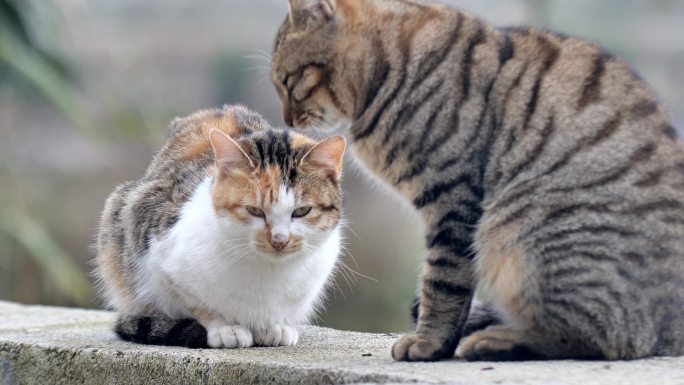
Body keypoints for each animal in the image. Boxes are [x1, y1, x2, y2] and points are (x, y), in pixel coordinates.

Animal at [95, 105, 348, 348]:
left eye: (301, 211)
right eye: (254, 210)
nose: (279, 240)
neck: (267, 273)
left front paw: (275, 325)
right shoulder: (160, 260)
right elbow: (198, 303)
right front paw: (226, 328)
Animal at [272, 0, 684, 360]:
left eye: (288, 82)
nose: (288, 119)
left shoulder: (452, 198)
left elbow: (443, 280)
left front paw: (429, 343)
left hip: (520, 228)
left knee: (601, 338)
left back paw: (498, 340)